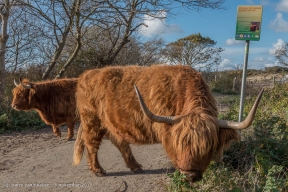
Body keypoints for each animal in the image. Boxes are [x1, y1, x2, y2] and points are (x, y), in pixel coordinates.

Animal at [73, 65, 264, 183]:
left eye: (207, 147)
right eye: (179, 144)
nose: (188, 174)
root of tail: (86, 74)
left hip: (109, 123)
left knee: (120, 142)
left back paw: (135, 167)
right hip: (91, 120)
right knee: (92, 145)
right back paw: (98, 170)